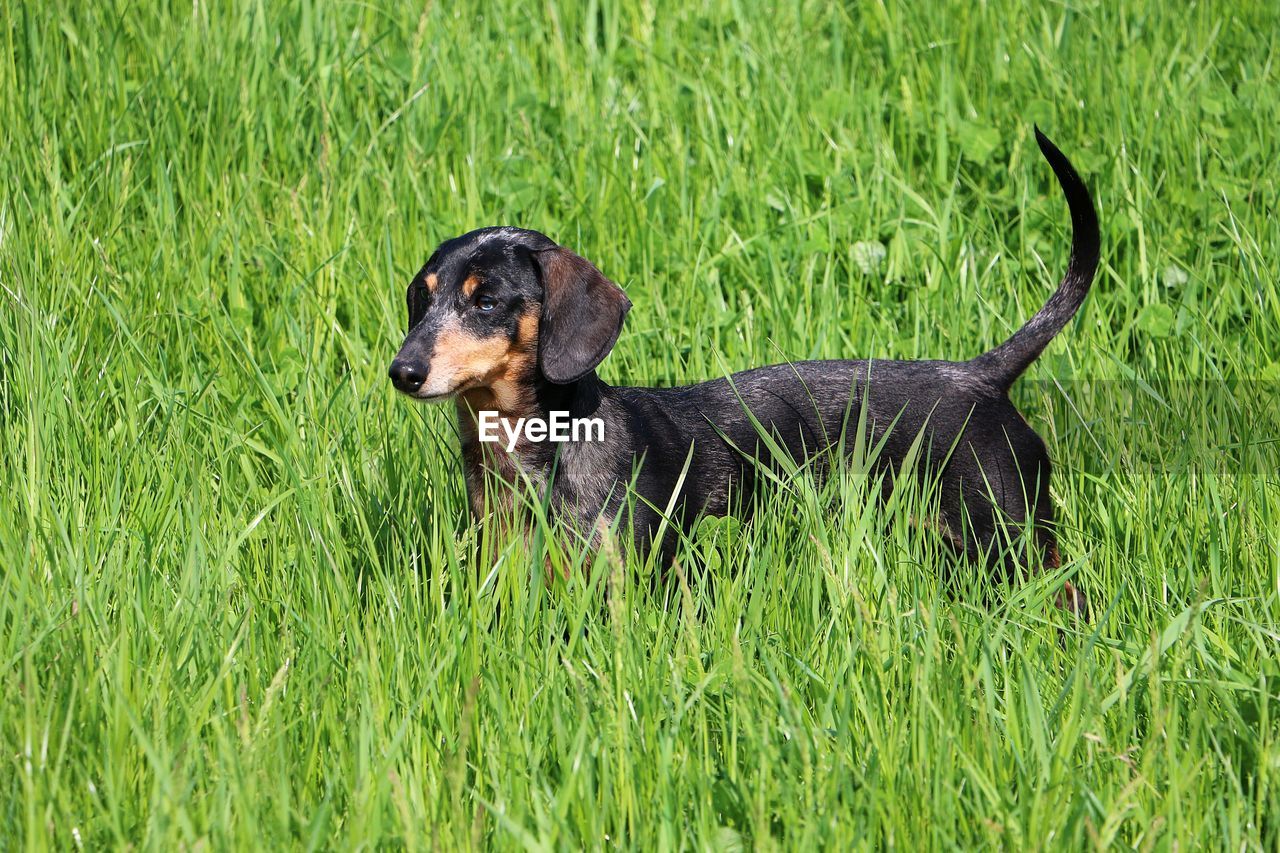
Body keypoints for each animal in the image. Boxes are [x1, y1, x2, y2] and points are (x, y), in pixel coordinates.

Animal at [389, 128, 1100, 612]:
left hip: (1010, 534)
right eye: (422, 297)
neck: (536, 450)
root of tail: (980, 375)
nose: (403, 371)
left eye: (486, 301)